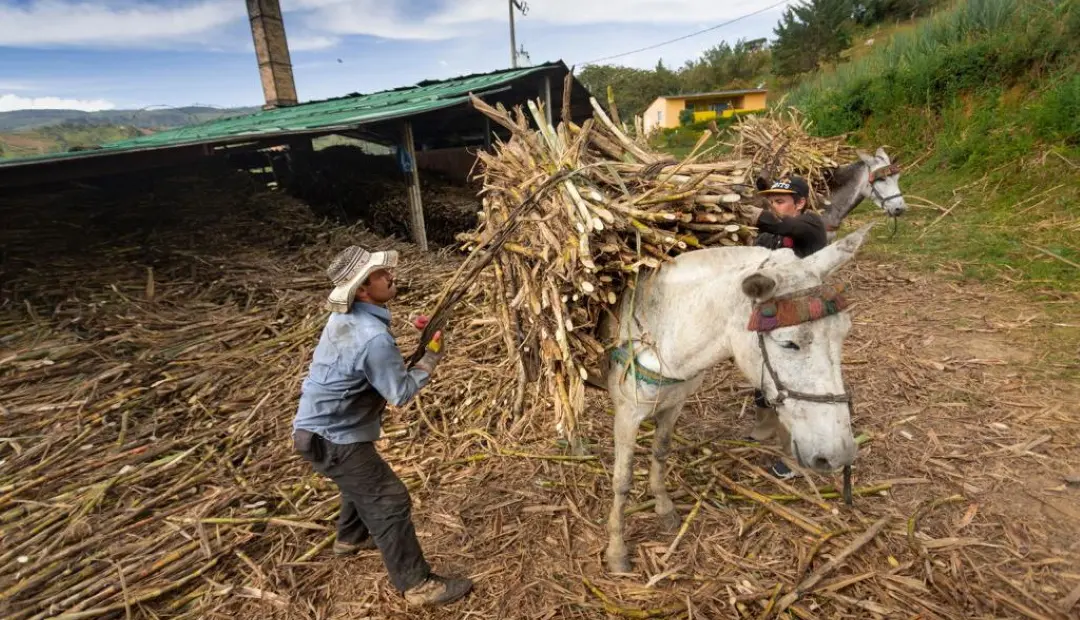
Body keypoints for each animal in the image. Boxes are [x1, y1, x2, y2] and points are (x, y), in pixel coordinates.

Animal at [600, 223, 876, 574]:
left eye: (844, 334)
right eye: (788, 343)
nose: (839, 454)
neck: (661, 325)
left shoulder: (673, 403)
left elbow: (660, 453)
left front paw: (663, 508)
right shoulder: (628, 414)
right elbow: (621, 481)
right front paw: (617, 550)